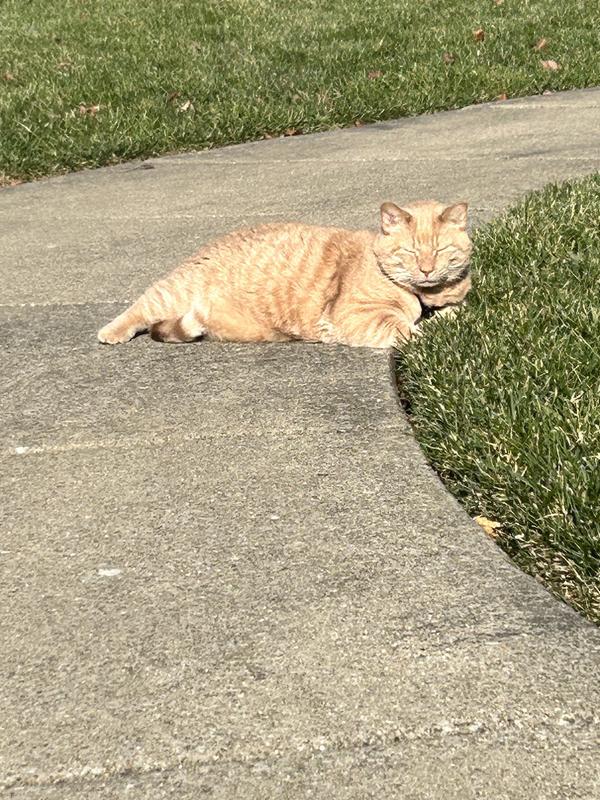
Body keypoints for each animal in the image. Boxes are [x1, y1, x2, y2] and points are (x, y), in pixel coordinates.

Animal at [98, 199, 472, 346]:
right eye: (410, 252)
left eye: (439, 251)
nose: (426, 269)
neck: (424, 297)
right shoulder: (357, 316)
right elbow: (407, 331)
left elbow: (454, 313)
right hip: (174, 292)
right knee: (141, 306)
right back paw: (111, 332)